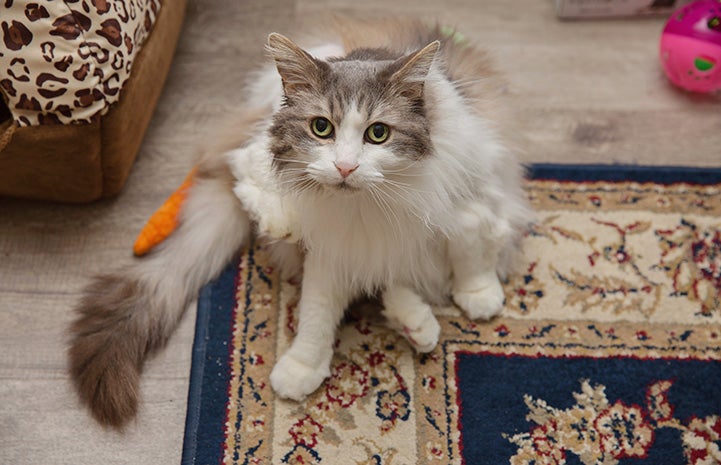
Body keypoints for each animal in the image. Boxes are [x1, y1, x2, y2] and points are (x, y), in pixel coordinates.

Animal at [67, 17, 532, 428]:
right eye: (321, 128)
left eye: (378, 134)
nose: (345, 167)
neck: (372, 207)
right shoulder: (331, 248)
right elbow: (316, 314)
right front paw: (302, 366)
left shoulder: (472, 198)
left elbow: (472, 248)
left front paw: (479, 295)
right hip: (264, 146)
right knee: (244, 169)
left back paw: (414, 320)